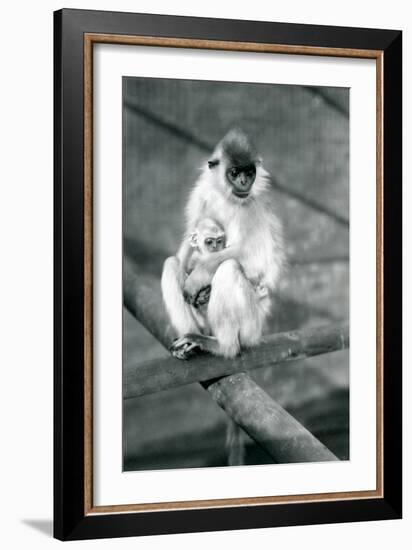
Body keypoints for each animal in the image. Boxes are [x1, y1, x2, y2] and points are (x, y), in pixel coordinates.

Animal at [162, 129, 286, 362]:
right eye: (235, 172)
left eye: (249, 172)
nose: (244, 181)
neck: (228, 198)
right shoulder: (201, 193)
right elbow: (187, 244)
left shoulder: (251, 207)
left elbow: (253, 260)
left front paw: (198, 278)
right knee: (172, 263)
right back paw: (191, 341)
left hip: (251, 327)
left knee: (229, 267)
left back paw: (223, 346)